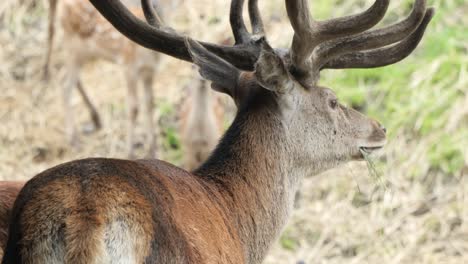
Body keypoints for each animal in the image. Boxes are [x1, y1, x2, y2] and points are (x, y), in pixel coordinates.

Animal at [43, 0, 179, 157]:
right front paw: (130, 153)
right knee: (65, 83)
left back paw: (92, 121)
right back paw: (74, 139)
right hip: (72, 47)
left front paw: (153, 151)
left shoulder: (149, 72)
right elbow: (133, 108)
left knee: (67, 78)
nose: (155, 6)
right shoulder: (128, 66)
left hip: (83, 53)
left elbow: (150, 105)